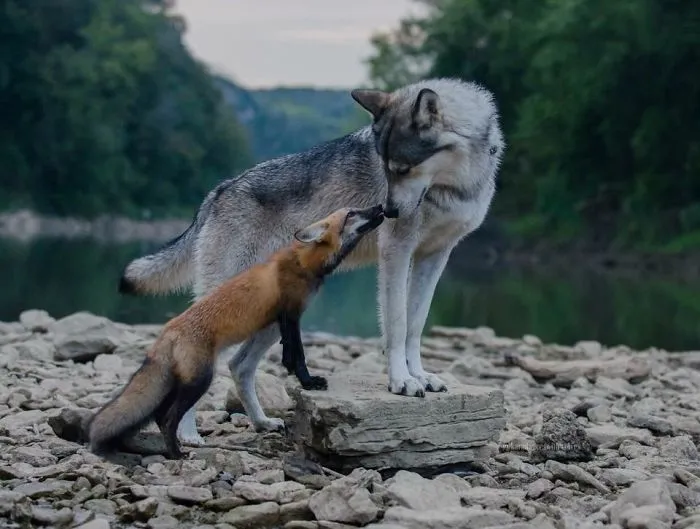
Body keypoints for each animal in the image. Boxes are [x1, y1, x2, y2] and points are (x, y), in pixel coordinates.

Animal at [88, 205, 385, 459]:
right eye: (352, 214)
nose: (381, 206)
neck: (303, 262)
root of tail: (167, 330)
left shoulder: (283, 319)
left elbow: (289, 355)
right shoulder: (291, 315)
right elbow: (298, 356)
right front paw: (308, 382)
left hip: (178, 383)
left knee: (161, 417)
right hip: (200, 380)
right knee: (170, 418)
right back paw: (177, 453)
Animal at [119, 77, 504, 445]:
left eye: (403, 169)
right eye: (388, 169)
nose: (389, 211)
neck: (456, 184)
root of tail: (218, 192)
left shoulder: (434, 257)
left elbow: (415, 325)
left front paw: (420, 375)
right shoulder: (397, 252)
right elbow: (396, 325)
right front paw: (402, 381)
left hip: (275, 316)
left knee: (239, 366)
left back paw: (261, 422)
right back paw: (187, 435)